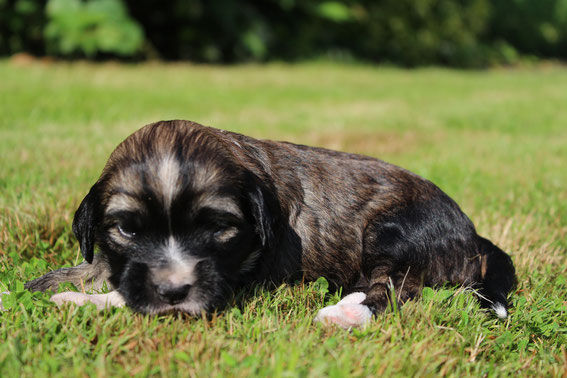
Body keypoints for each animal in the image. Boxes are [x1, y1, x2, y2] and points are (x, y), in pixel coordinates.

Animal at [22, 119, 516, 326]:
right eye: (127, 229)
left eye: (216, 227)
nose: (173, 289)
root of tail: (475, 238)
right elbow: (100, 268)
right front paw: (40, 286)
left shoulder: (233, 280)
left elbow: (129, 296)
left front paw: (75, 300)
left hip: (395, 231)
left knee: (397, 289)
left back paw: (344, 313)